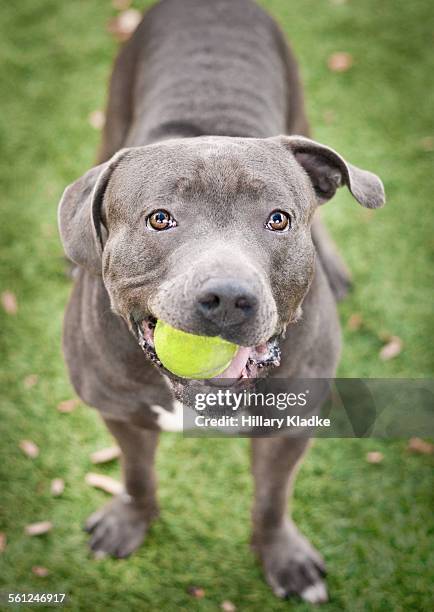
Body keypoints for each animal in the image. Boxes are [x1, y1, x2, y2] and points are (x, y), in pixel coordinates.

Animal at [56, 0, 384, 604]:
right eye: (160, 219)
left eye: (278, 219)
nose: (229, 296)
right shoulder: (117, 409)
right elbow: (136, 474)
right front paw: (130, 520)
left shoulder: (290, 427)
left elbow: (272, 500)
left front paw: (283, 558)